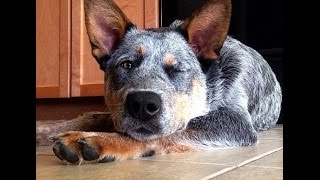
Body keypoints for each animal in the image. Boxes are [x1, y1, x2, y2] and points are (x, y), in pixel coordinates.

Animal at [49, 0, 280, 164]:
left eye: (176, 69)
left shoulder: (236, 121)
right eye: (126, 65)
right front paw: (51, 130)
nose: (142, 103)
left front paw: (99, 139)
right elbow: (91, 117)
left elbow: (162, 133)